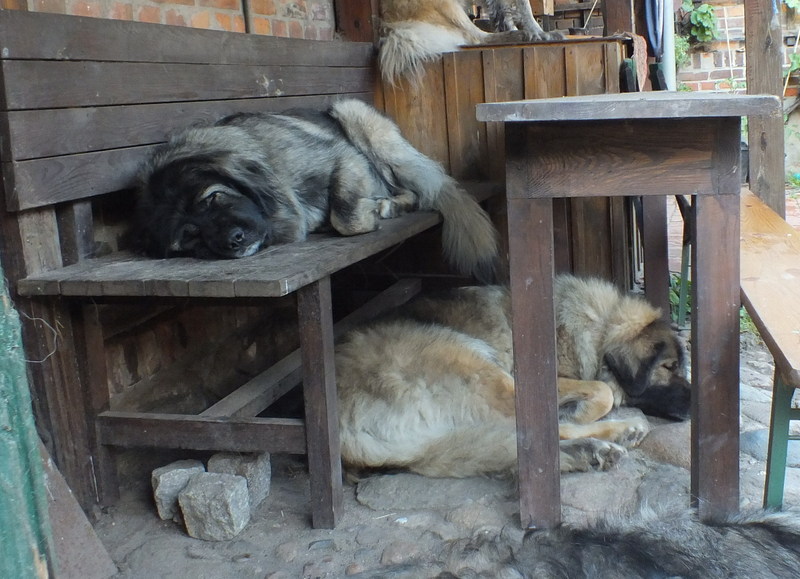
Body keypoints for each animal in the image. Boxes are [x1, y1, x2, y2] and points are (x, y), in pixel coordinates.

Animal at [132, 99, 499, 283]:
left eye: (212, 198)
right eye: (190, 235)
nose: (234, 240)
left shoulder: (343, 155)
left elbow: (345, 216)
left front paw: (367, 211)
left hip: (355, 116)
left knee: (414, 187)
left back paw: (389, 203)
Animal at [336, 274, 691, 478]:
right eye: (668, 368)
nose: (694, 405)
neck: (597, 326)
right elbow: (602, 390)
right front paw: (581, 410)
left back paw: (591, 452)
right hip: (480, 365)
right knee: (540, 430)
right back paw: (616, 434)